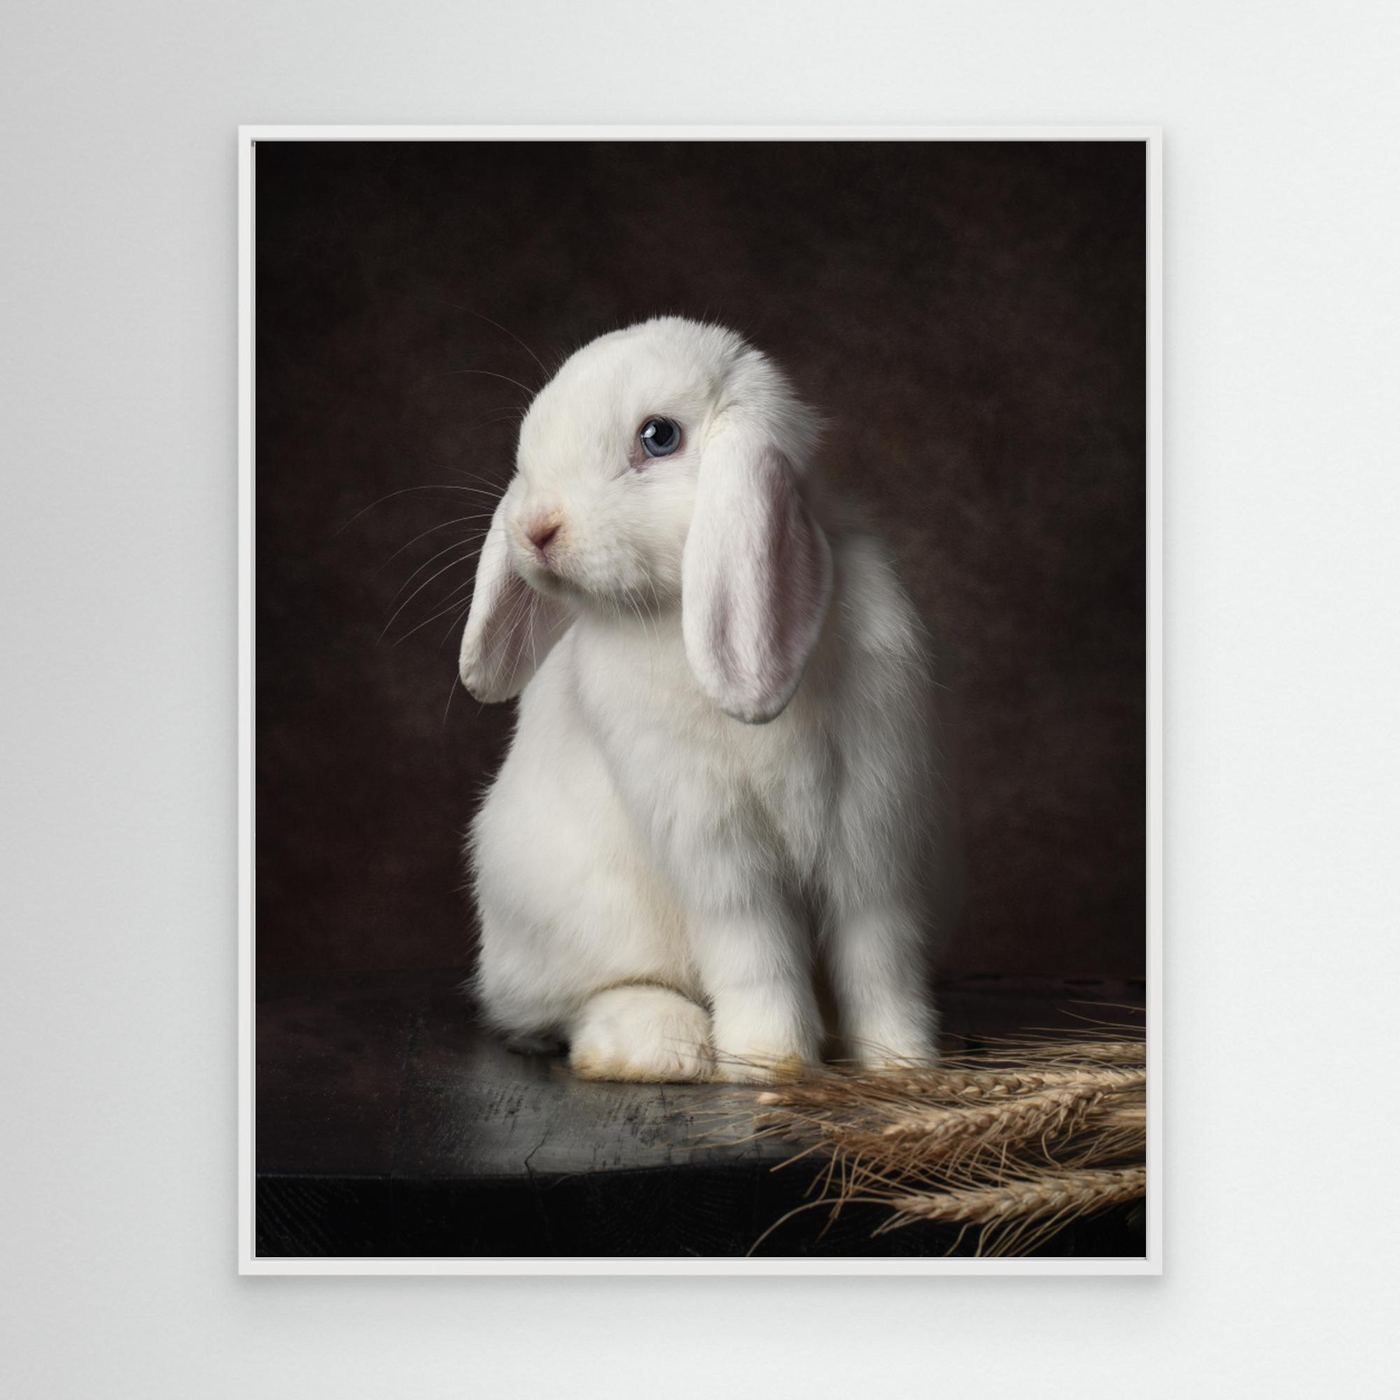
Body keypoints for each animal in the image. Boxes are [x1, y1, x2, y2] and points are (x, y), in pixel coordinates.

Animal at [458, 316, 939, 1083]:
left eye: (659, 437)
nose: (535, 529)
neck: (672, 608)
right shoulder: (714, 844)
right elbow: (755, 951)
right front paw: (771, 1064)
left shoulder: (869, 831)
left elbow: (878, 954)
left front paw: (902, 1064)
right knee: (570, 1007)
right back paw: (660, 1047)